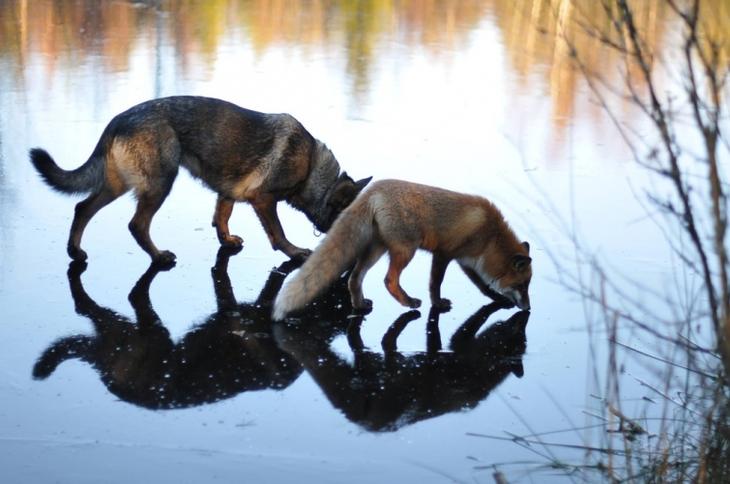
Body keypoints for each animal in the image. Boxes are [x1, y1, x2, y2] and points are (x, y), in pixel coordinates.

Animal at [28, 96, 370, 266]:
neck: (312, 168)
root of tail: (118, 121)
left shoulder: (229, 191)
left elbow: (222, 215)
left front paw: (226, 240)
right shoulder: (263, 199)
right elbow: (277, 232)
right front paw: (295, 252)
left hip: (118, 184)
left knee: (83, 208)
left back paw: (75, 251)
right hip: (160, 183)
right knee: (137, 225)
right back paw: (158, 257)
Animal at [270, 180, 532, 320]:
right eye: (522, 286)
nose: (529, 309)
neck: (490, 235)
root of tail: (373, 190)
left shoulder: (467, 262)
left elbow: (483, 286)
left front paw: (498, 298)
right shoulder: (444, 254)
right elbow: (435, 284)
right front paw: (437, 304)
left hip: (376, 250)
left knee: (354, 278)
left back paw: (360, 305)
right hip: (406, 250)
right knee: (389, 280)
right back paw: (409, 303)